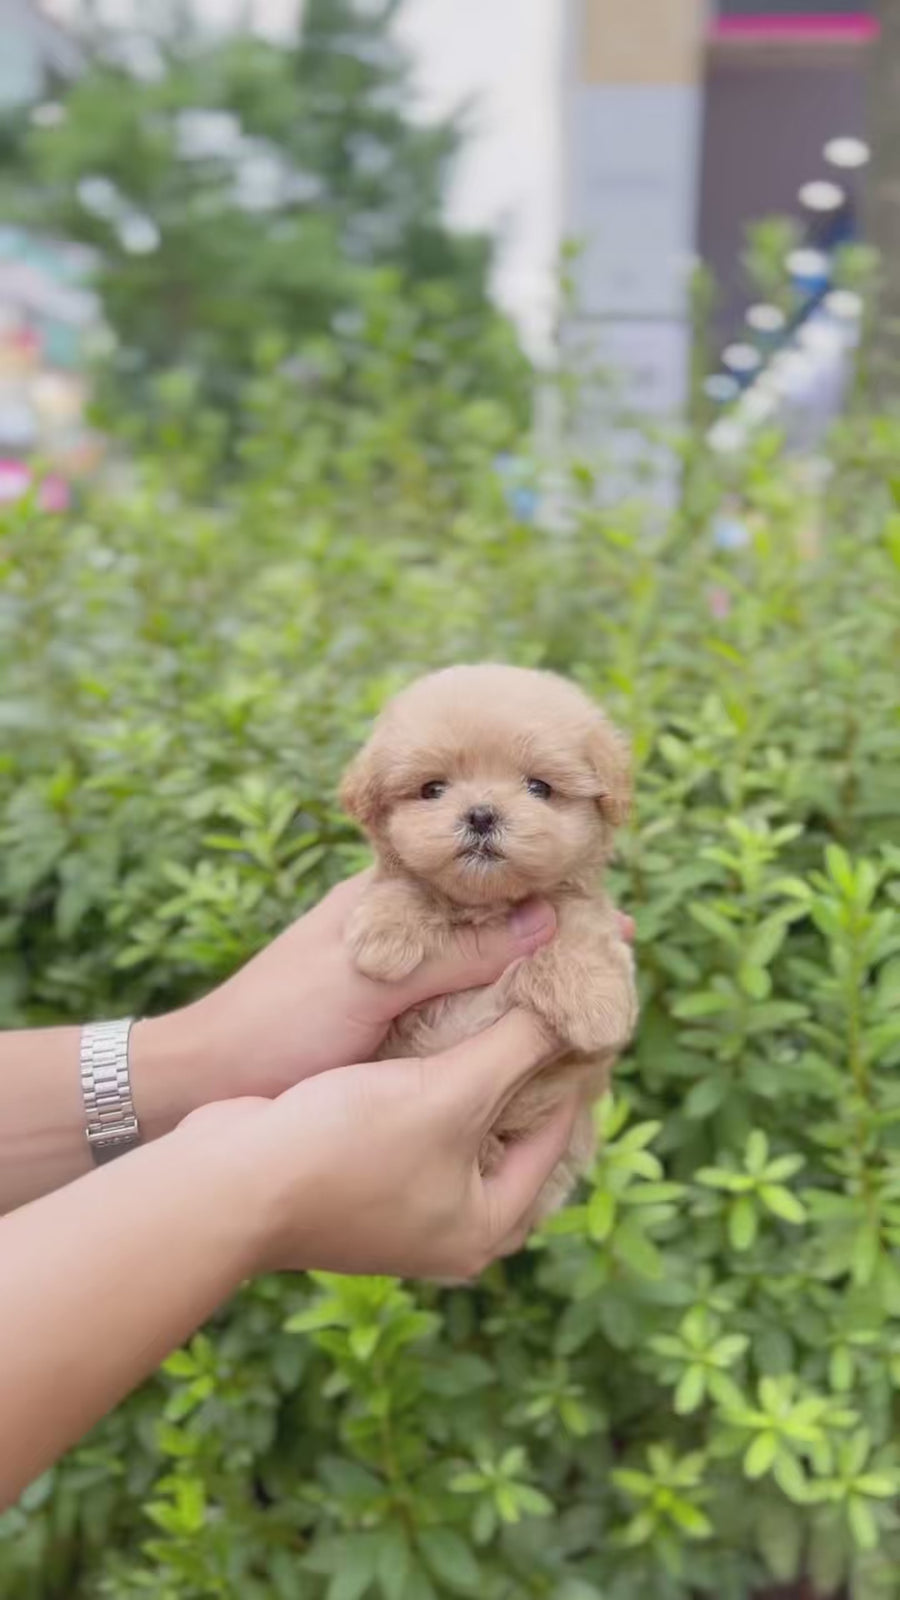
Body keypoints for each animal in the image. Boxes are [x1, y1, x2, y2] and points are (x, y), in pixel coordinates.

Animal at [337, 662, 637, 1209]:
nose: (480, 813)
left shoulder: (583, 918)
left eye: (539, 787)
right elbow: (405, 884)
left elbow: (578, 934)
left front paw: (595, 1005)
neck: (489, 906)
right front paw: (385, 936)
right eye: (433, 789)